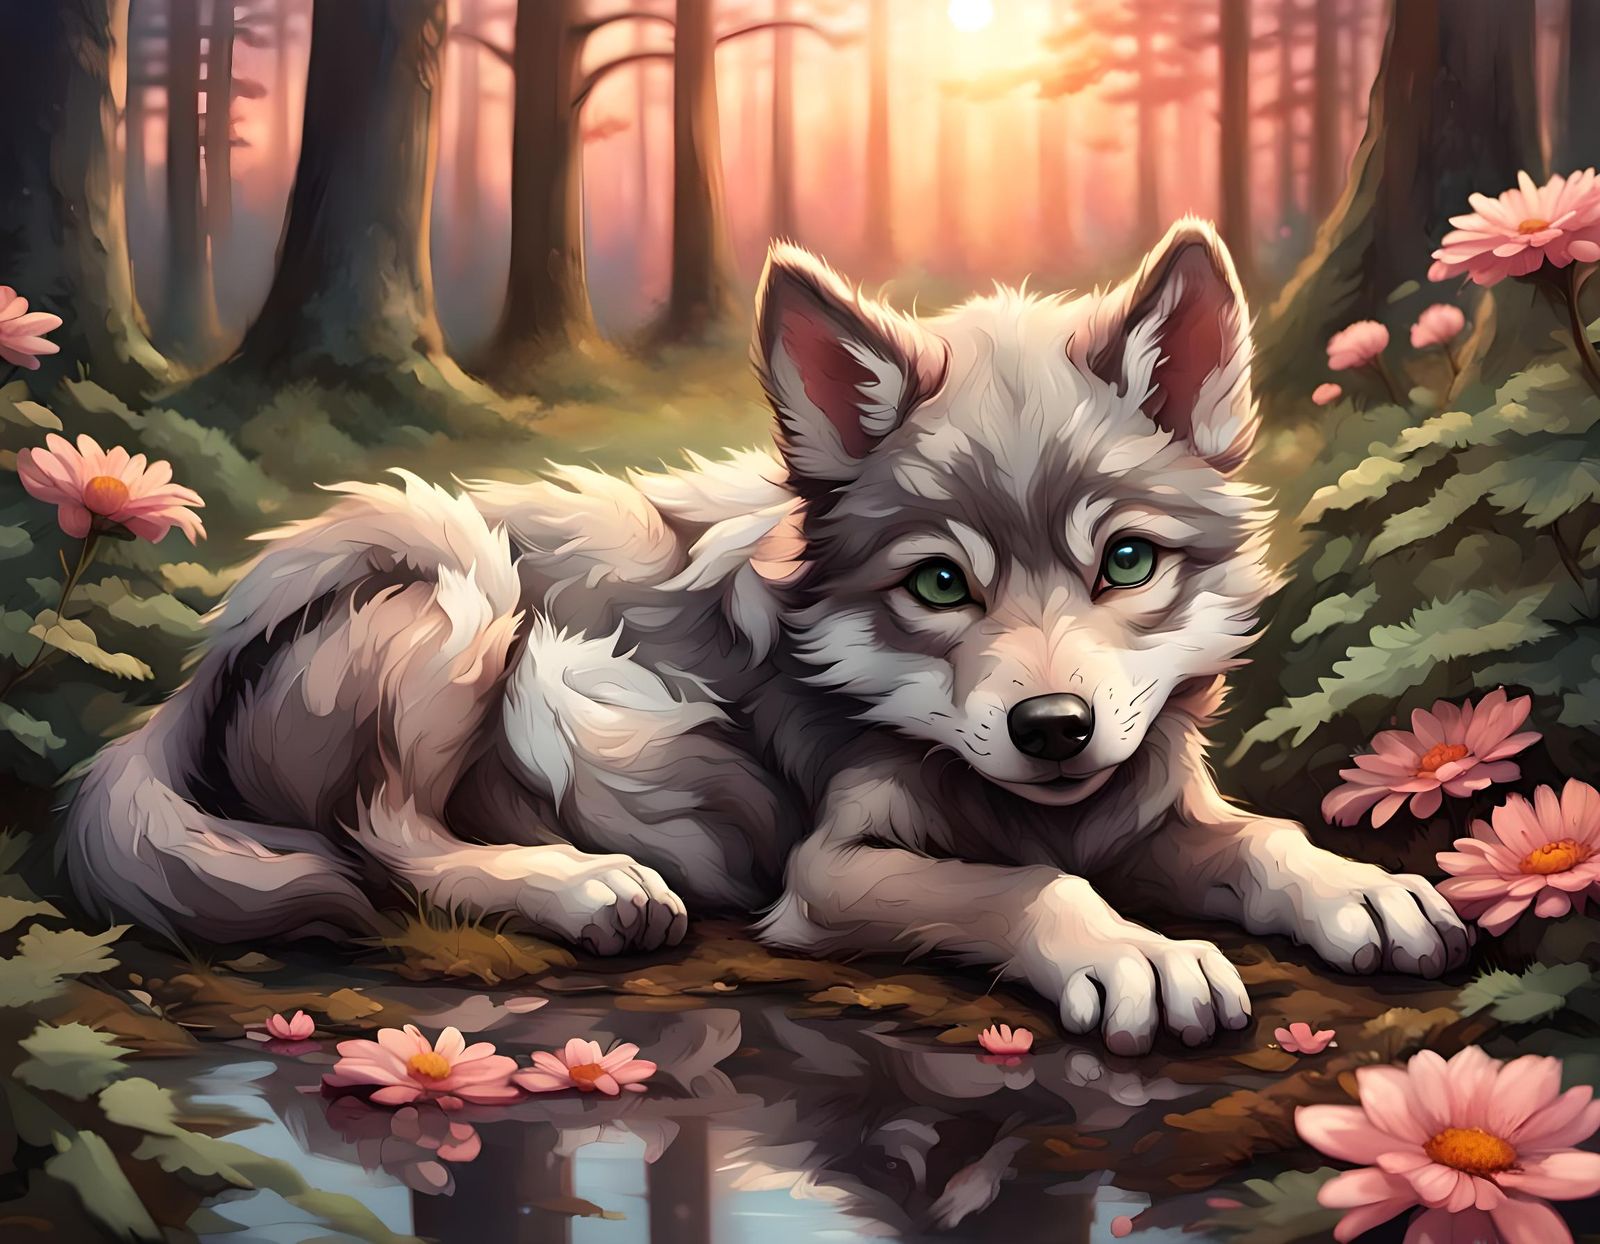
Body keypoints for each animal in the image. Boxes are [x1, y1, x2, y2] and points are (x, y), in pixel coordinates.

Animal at [63, 219, 1469, 1053]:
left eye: (1125, 562)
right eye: (939, 583)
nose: (1053, 730)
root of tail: (196, 669)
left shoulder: (1150, 813)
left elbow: (1262, 838)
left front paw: (1361, 892)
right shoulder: (831, 869)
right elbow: (1031, 886)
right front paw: (1139, 955)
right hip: (458, 567)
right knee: (383, 840)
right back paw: (591, 889)